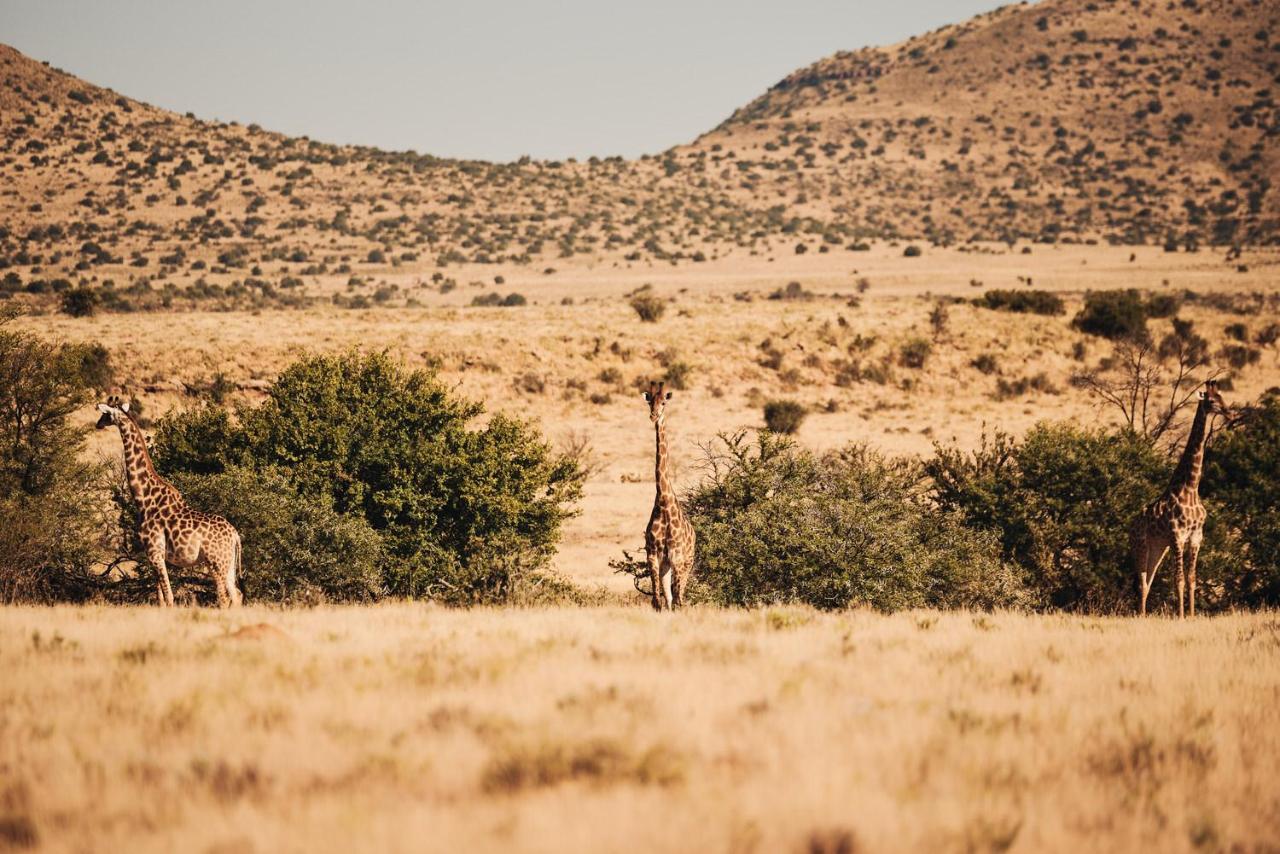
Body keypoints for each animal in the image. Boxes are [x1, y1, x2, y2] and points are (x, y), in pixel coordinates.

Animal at [97, 396, 241, 606]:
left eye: (105, 414)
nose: (97, 424)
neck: (145, 499)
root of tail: (235, 535)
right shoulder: (154, 555)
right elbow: (160, 598)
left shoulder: (154, 551)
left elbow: (169, 596)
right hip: (227, 563)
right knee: (236, 594)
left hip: (216, 561)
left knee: (223, 597)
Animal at [640, 384, 701, 612]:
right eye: (650, 401)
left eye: (664, 402)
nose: (653, 416)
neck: (664, 502)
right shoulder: (653, 555)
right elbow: (658, 600)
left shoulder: (676, 556)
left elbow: (677, 598)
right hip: (667, 565)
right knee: (669, 598)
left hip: (687, 562)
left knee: (680, 596)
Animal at [1136, 384, 1223, 617]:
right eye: (1211, 400)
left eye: (1222, 397)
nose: (1227, 411)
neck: (1191, 488)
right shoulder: (1177, 535)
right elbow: (1179, 580)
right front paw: (1181, 616)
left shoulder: (1195, 536)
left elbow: (1192, 578)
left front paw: (1191, 615)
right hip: (1143, 544)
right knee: (1142, 581)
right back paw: (1140, 615)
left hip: (1159, 546)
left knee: (1148, 580)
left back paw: (1144, 615)